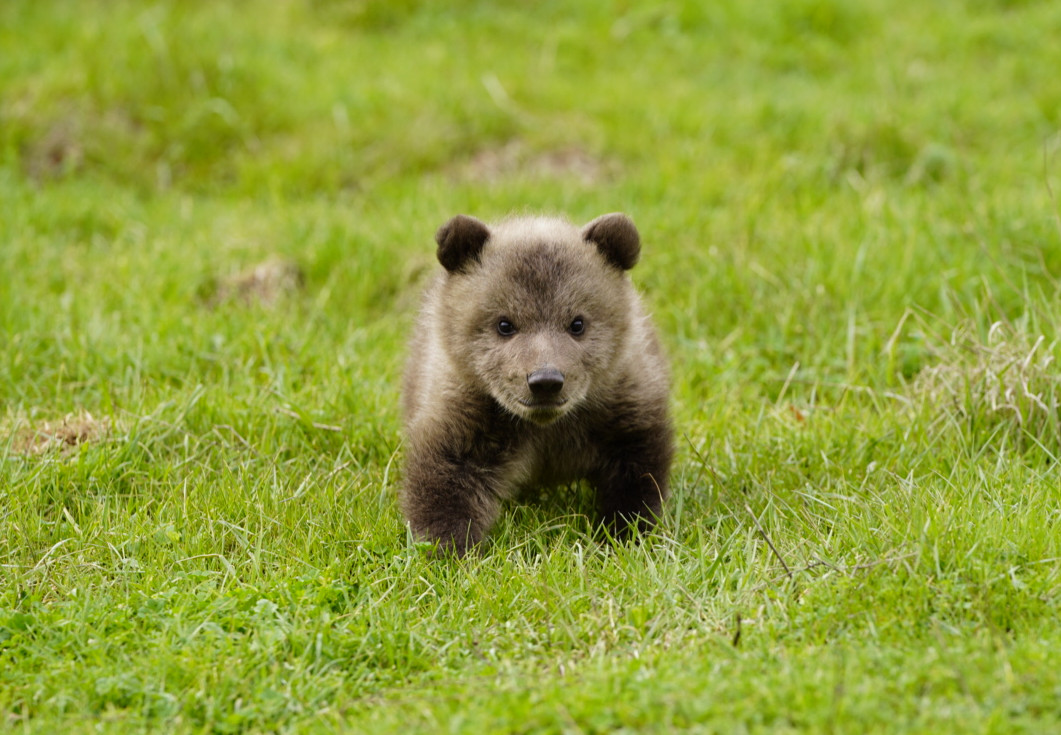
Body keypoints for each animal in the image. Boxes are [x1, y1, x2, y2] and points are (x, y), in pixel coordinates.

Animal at [400, 212, 673, 555]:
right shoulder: (467, 411)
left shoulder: (624, 407)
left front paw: (624, 532)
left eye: (577, 323)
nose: (545, 381)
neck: (546, 430)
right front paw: (449, 546)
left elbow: (637, 472)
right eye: (504, 324)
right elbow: (445, 474)